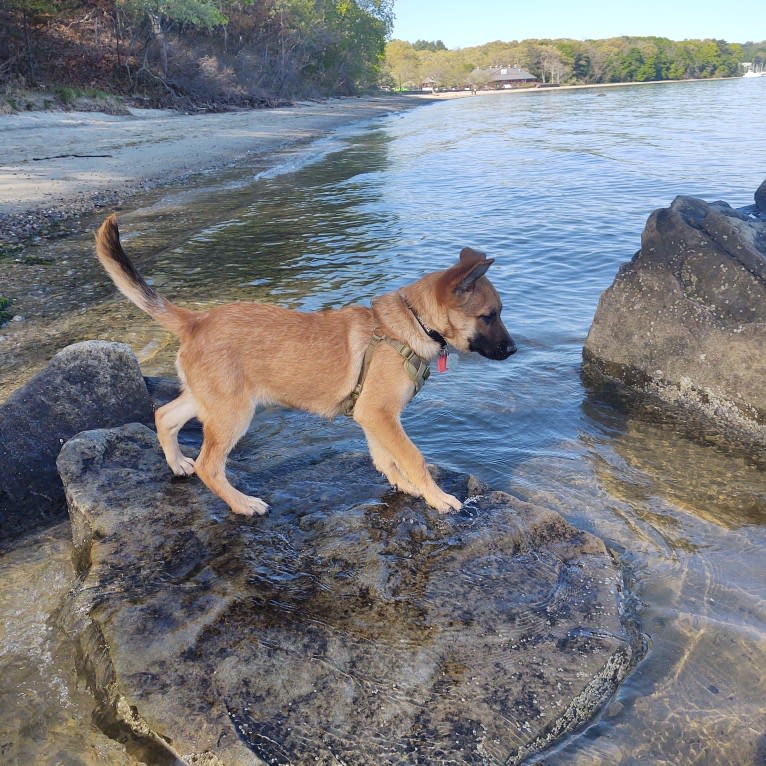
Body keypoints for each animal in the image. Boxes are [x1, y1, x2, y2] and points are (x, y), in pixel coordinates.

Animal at [96, 213, 516, 520]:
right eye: (489, 316)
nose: (513, 350)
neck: (411, 323)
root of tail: (196, 321)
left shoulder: (372, 417)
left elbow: (386, 458)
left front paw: (409, 487)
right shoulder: (380, 414)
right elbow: (412, 456)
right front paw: (437, 496)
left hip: (209, 401)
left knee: (164, 416)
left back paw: (177, 463)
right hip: (233, 414)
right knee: (209, 466)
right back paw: (242, 503)